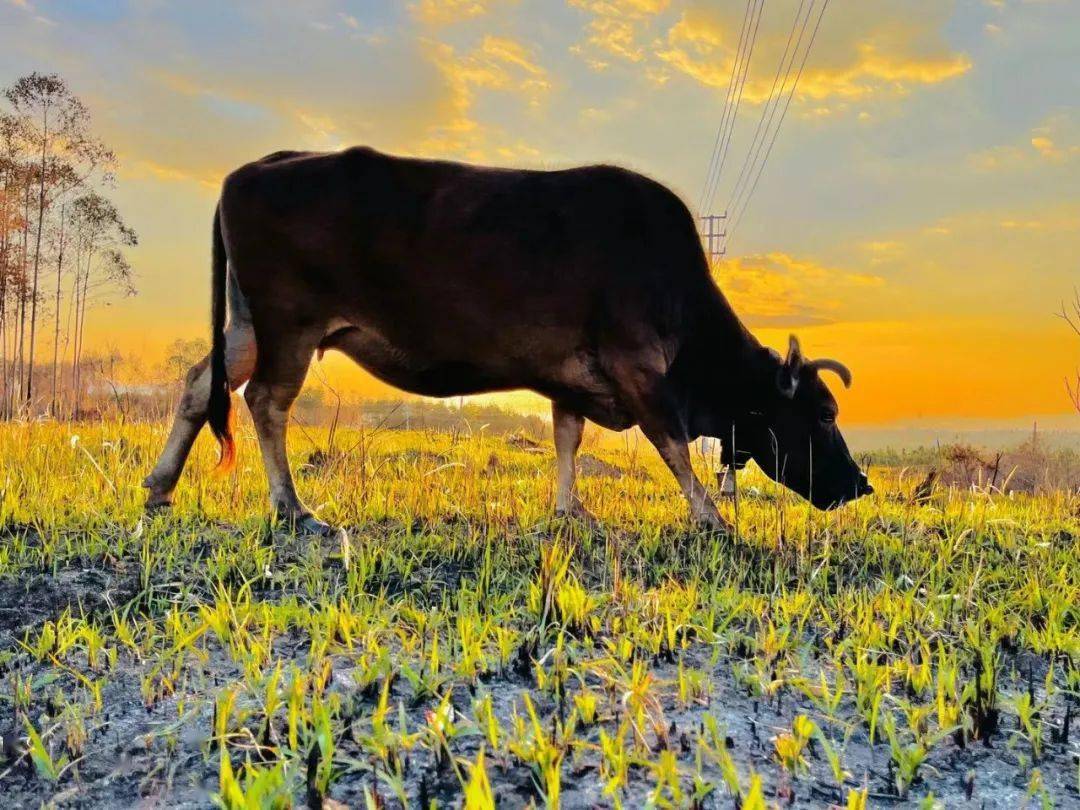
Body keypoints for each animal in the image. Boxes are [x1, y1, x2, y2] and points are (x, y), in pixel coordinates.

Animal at [143, 147, 868, 540]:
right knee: (266, 401)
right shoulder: (639, 367)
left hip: (245, 326)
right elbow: (672, 446)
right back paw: (293, 508)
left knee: (199, 383)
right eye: (823, 413)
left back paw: (159, 487)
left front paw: (571, 511)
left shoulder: (575, 379)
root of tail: (259, 166)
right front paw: (712, 517)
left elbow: (568, 440)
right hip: (288, 327)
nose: (859, 485)